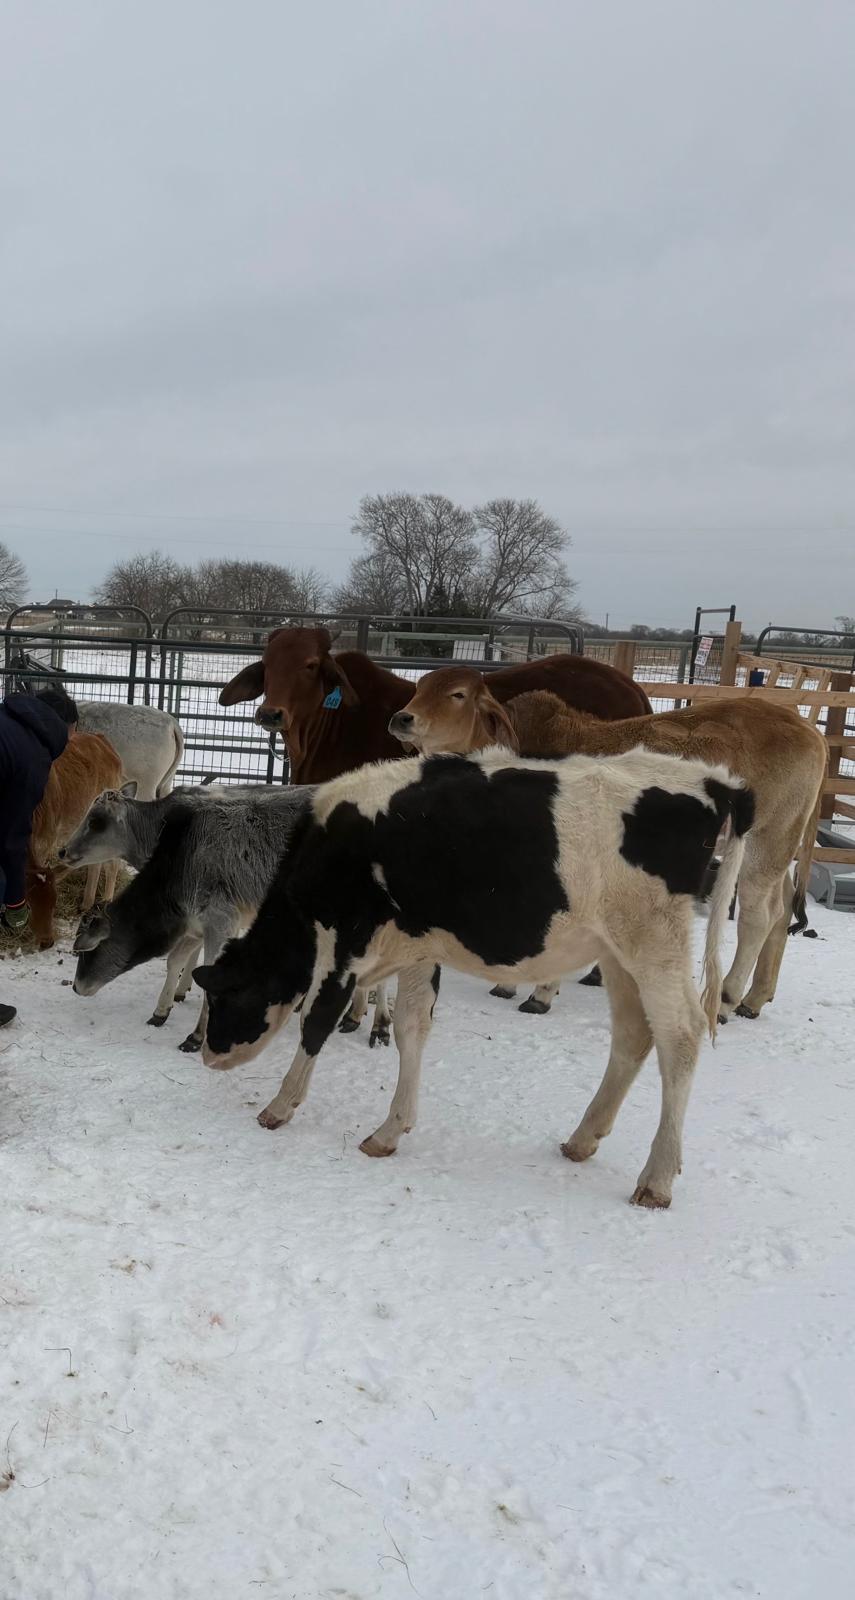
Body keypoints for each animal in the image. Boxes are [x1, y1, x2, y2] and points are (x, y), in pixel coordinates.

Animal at [27, 732, 124, 947]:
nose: (47, 942)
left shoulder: (45, 841)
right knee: (95, 863)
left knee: (112, 865)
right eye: (29, 904)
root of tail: (100, 738)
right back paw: (86, 904)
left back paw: (106, 902)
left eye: (54, 903)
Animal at [69, 785, 392, 1051]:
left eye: (96, 822)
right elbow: (175, 960)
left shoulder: (219, 920)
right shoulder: (196, 924)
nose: (75, 987)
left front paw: (196, 1036)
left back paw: (378, 1024)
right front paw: (162, 1009)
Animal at [193, 746, 754, 1209]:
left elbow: (317, 1020)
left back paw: (656, 1179)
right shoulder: (416, 946)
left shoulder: (345, 941)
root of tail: (712, 780)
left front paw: (279, 1106)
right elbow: (411, 1028)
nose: (209, 1056)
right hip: (617, 954)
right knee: (635, 1033)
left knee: (680, 1036)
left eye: (225, 996)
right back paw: (582, 1139)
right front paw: (390, 1130)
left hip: (655, 945)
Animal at [390, 680, 827, 1022]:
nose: (401, 718)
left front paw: (540, 991)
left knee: (758, 915)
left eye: (457, 694)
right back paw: (755, 997)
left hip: (766, 841)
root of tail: (810, 729)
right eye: (420, 686)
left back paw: (727, 999)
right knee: (782, 908)